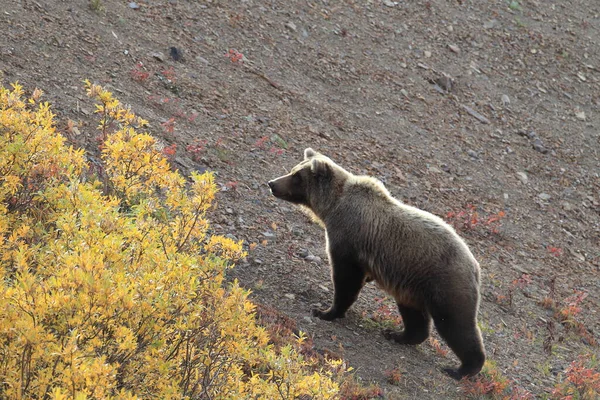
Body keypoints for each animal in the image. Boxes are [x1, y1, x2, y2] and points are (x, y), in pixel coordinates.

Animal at [270, 148, 486, 380]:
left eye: (296, 176)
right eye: (293, 169)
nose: (272, 183)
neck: (332, 207)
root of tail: (475, 266)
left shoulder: (349, 240)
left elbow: (346, 279)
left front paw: (325, 311)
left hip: (444, 282)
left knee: (456, 324)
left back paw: (462, 368)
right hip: (411, 285)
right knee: (415, 315)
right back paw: (396, 334)